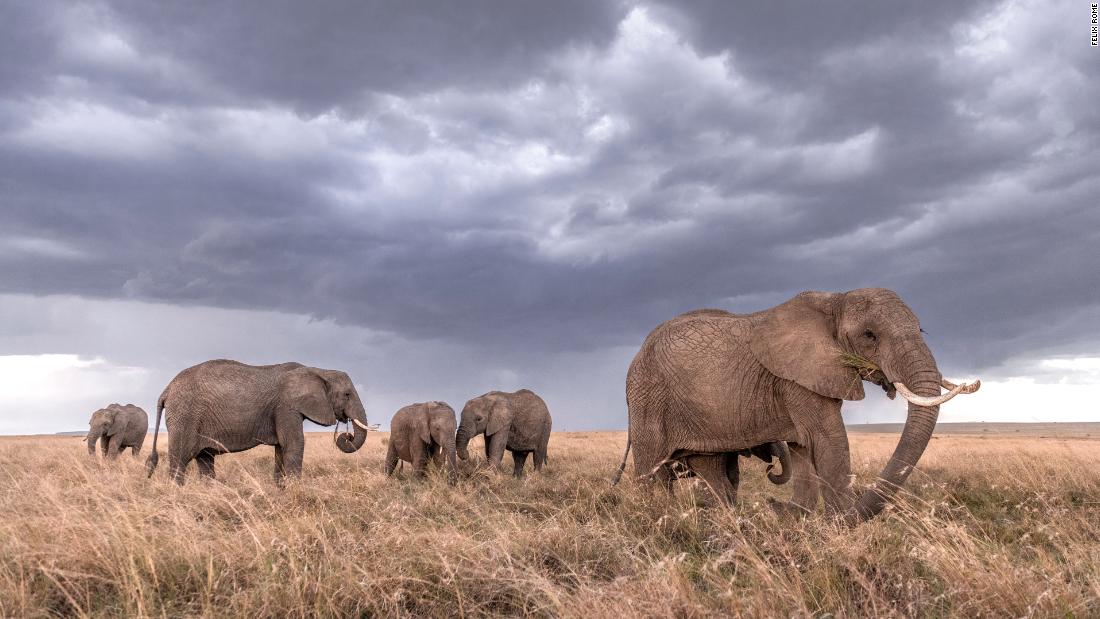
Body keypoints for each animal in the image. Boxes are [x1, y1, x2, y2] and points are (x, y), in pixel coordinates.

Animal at [144, 360, 369, 485]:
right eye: (347, 394)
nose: (347, 435)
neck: (319, 371)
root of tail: (166, 390)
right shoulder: (286, 406)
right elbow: (294, 444)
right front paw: (296, 491)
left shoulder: (283, 410)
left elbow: (281, 449)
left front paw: (281, 490)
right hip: (185, 416)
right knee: (181, 460)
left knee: (205, 460)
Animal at [616, 288, 985, 521]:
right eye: (870, 336)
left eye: (921, 329)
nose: (771, 504)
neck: (836, 301)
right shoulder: (795, 377)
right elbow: (829, 442)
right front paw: (840, 526)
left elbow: (803, 447)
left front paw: (800, 518)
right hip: (647, 396)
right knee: (652, 473)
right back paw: (660, 519)